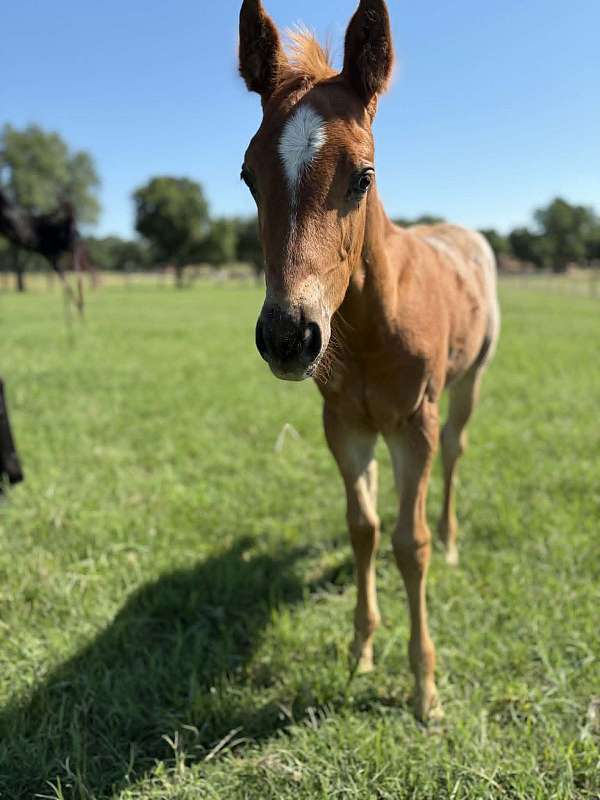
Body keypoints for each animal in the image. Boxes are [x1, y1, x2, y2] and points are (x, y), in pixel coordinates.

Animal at [238, 0, 500, 721]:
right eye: (249, 177)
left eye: (363, 176)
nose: (289, 336)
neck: (370, 325)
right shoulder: (345, 426)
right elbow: (364, 528)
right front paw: (360, 650)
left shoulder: (415, 424)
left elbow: (410, 545)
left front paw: (425, 688)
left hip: (467, 384)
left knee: (457, 455)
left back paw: (453, 539)